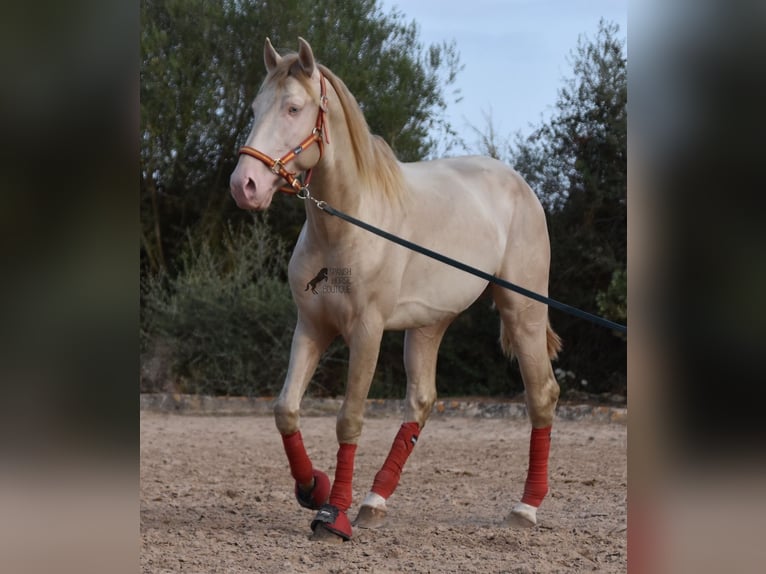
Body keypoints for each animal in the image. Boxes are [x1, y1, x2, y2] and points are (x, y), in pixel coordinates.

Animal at [230, 37, 564, 544]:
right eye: (254, 108)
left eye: (293, 108)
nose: (244, 185)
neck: (346, 225)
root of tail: (520, 185)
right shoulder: (312, 327)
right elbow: (286, 409)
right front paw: (312, 487)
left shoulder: (366, 332)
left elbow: (349, 420)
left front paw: (333, 514)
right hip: (430, 324)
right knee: (421, 401)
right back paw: (375, 501)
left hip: (522, 309)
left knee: (541, 394)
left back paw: (525, 509)